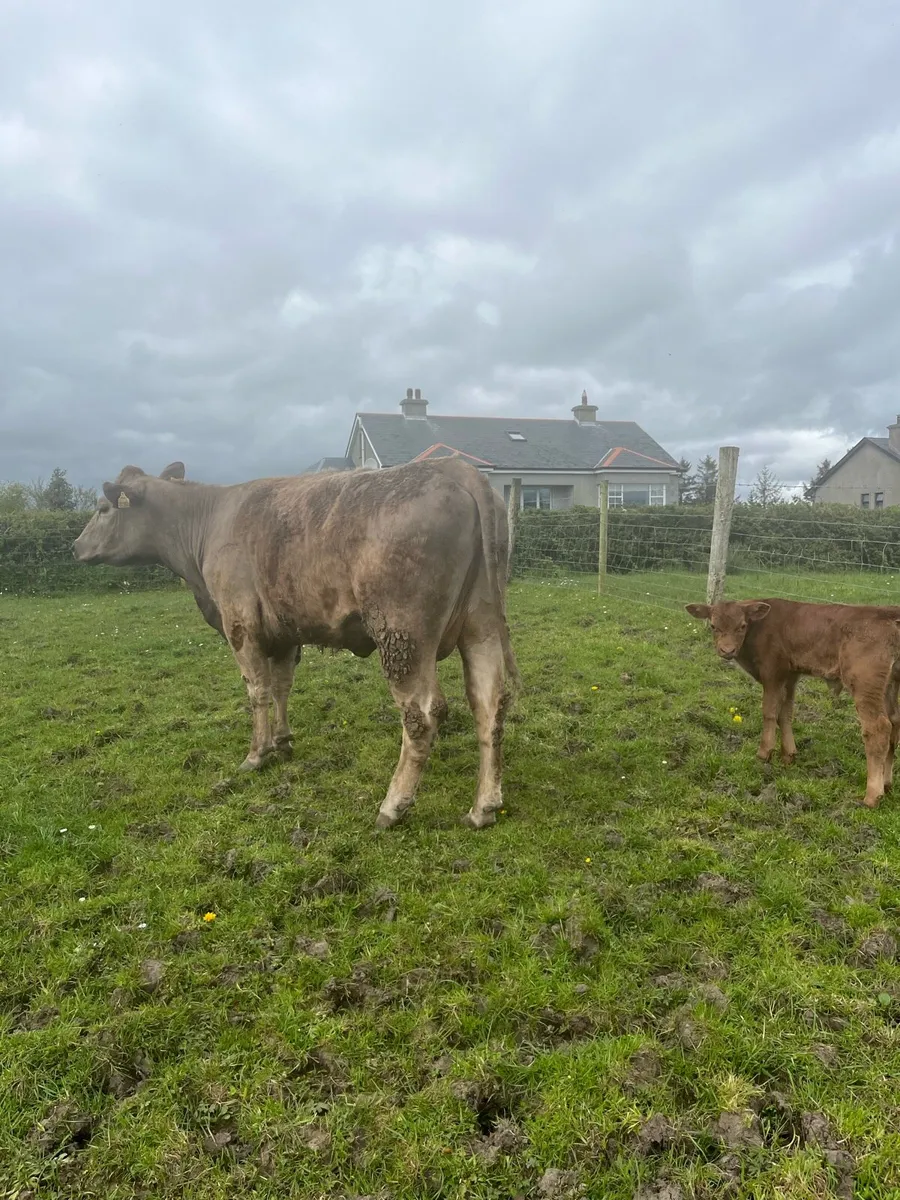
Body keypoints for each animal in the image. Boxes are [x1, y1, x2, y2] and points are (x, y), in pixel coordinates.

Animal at [73, 458, 520, 830]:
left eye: (103, 508)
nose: (75, 546)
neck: (208, 519)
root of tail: (454, 468)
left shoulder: (240, 624)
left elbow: (256, 690)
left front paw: (257, 754)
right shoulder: (283, 632)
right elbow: (281, 687)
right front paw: (283, 742)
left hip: (402, 633)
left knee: (422, 714)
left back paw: (393, 807)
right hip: (480, 625)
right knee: (489, 703)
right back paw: (483, 806)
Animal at [686, 597, 900, 808]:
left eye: (742, 625)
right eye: (713, 626)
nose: (727, 650)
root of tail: (889, 612)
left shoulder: (773, 672)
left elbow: (769, 712)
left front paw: (764, 753)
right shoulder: (790, 675)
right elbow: (785, 714)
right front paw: (788, 755)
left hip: (865, 684)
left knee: (878, 728)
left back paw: (872, 796)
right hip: (890, 686)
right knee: (894, 724)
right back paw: (887, 784)